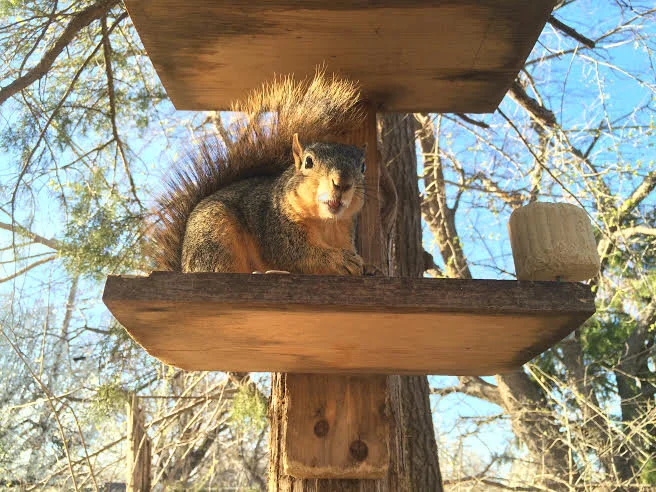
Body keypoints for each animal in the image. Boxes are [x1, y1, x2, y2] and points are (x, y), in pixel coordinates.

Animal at [151, 73, 370, 275]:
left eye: (363, 167)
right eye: (308, 162)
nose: (342, 182)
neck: (326, 223)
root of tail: (184, 266)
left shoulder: (346, 233)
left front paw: (370, 267)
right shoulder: (276, 228)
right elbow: (300, 255)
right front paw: (340, 259)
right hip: (212, 236)